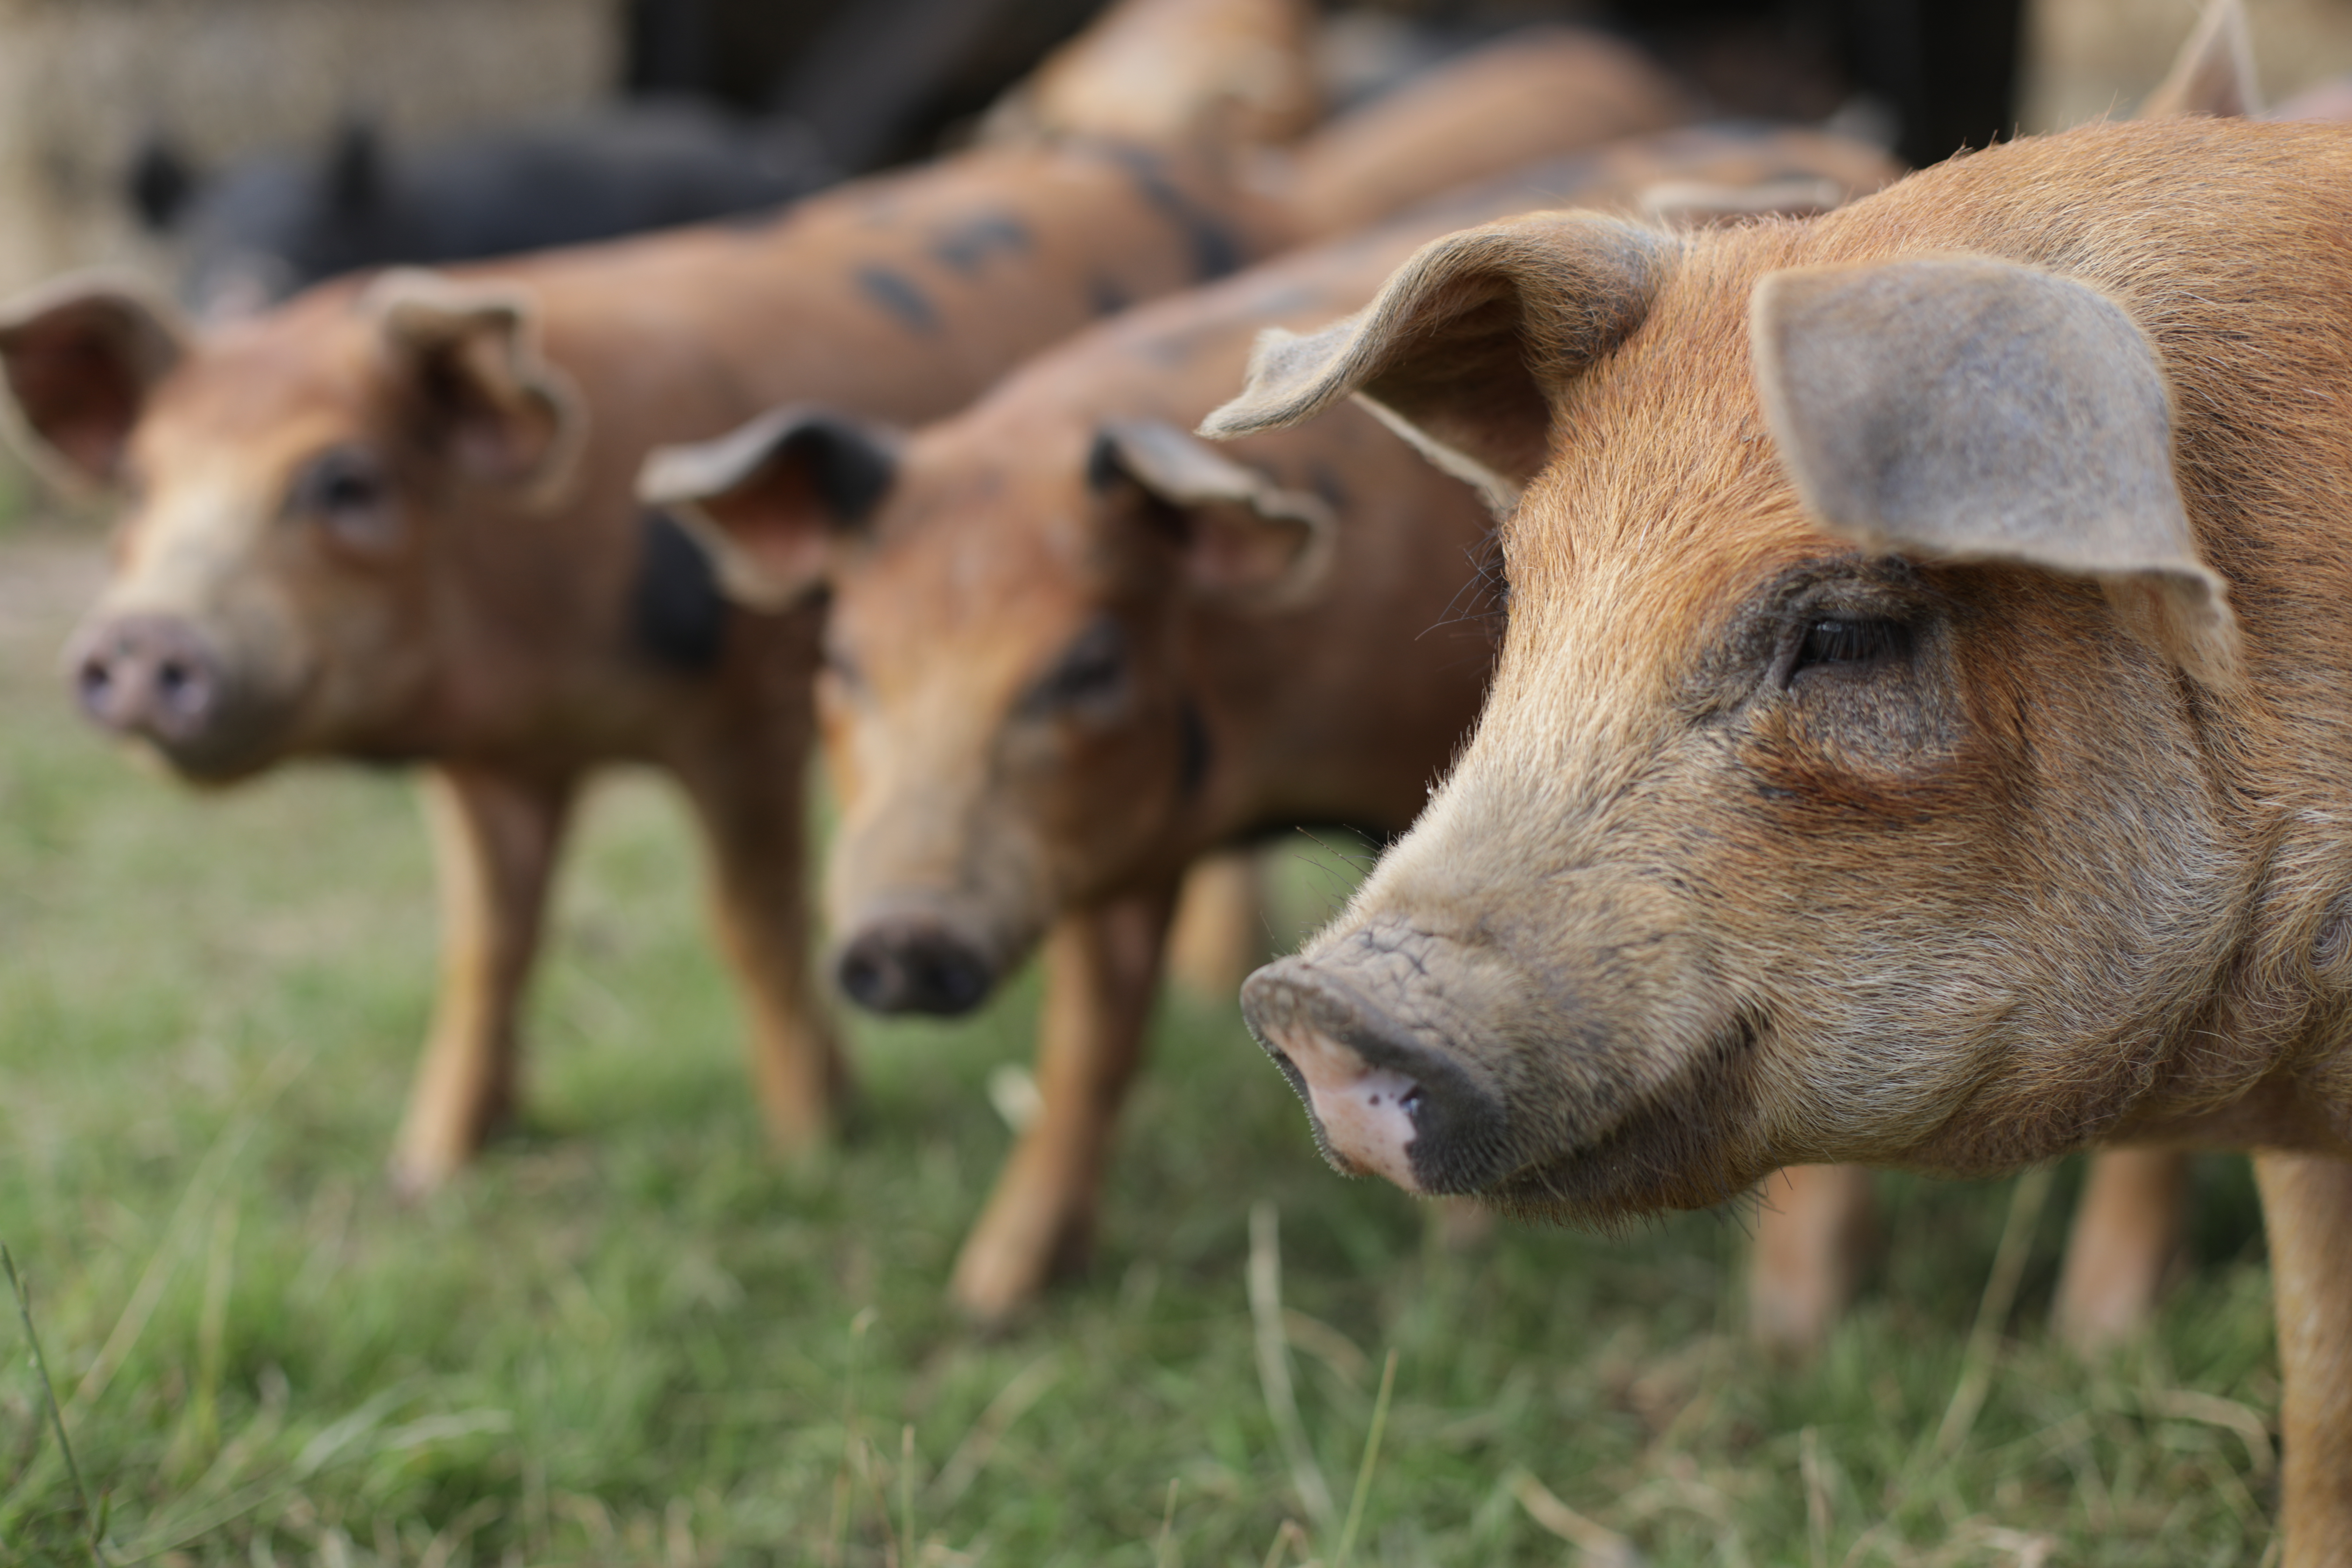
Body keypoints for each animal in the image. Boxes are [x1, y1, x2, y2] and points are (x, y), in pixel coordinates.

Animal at [1, 51, 1299, 1197]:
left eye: (346, 484)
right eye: (138, 485)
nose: (142, 638)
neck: (541, 654)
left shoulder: (746, 709)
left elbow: (753, 921)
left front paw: (817, 1149)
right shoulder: (490, 761)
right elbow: (487, 941)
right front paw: (430, 1169)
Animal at [638, 122, 1901, 1319]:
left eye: (1088, 665)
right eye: (841, 662)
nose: (901, 940)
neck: (1268, 760)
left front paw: (1461, 1256)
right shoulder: (1115, 838)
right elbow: (1091, 1046)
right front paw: (990, 1300)